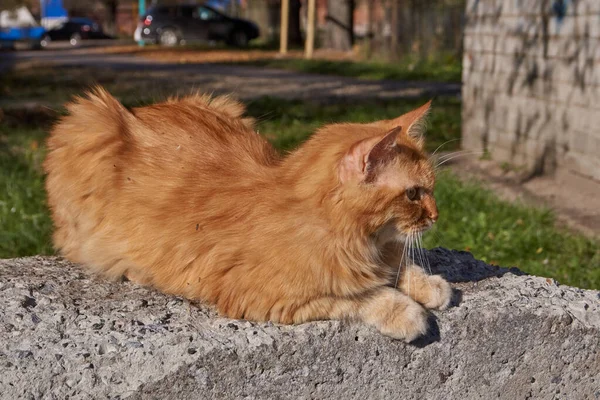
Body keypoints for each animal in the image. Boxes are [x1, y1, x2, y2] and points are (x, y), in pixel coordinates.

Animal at [44, 86, 450, 340]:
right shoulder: (268, 298)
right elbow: (361, 296)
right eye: (415, 194)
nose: (436, 215)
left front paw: (429, 285)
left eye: (431, 189)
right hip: (89, 123)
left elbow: (398, 266)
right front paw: (406, 311)